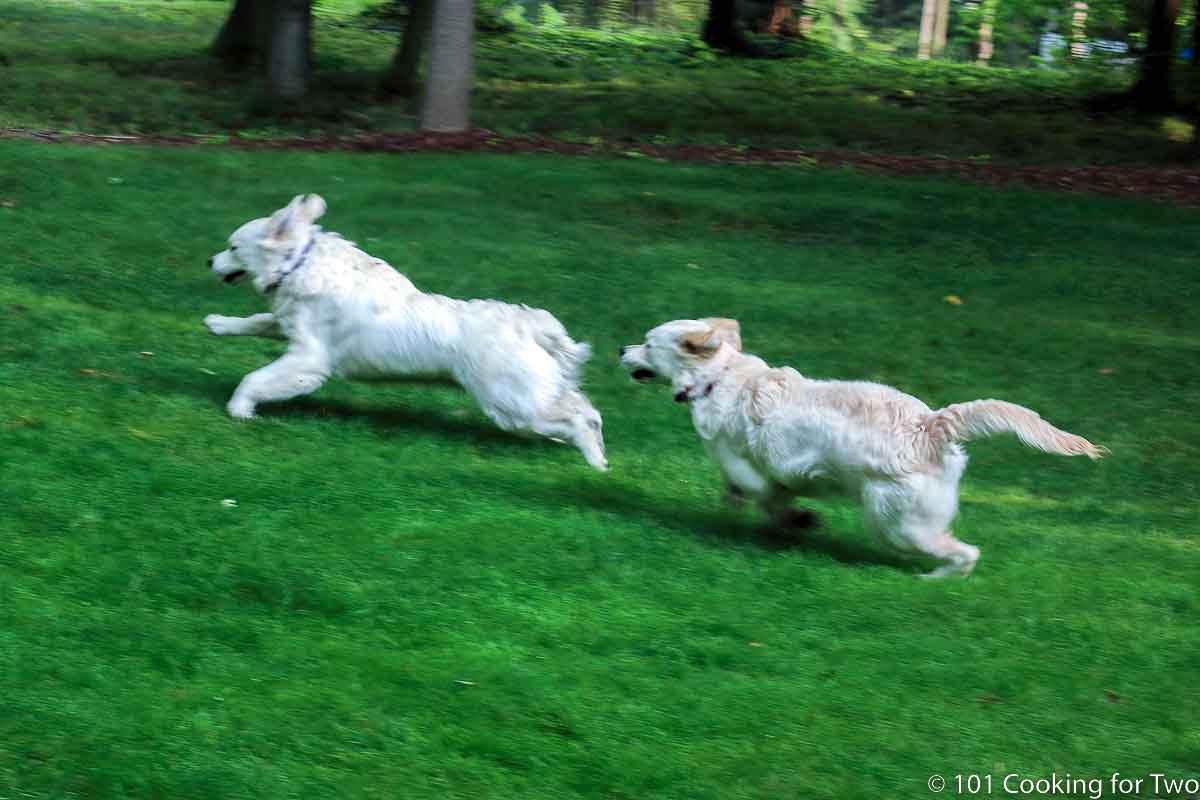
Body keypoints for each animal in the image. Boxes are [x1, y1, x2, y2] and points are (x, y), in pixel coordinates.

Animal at [205, 194, 609, 470]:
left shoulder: (307, 359)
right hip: (530, 394)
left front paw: (240, 409)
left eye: (233, 247)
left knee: (578, 416)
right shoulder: (290, 326)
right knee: (583, 407)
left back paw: (594, 461)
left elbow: (255, 379)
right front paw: (219, 323)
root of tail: (529, 326)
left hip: (512, 402)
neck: (299, 263)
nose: (209, 261)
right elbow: (259, 321)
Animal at [624, 316, 1099, 575]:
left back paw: (933, 582)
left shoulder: (749, 468)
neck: (717, 377)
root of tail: (931, 425)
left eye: (647, 342)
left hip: (895, 521)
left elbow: (768, 498)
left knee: (964, 553)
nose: (621, 349)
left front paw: (798, 520)